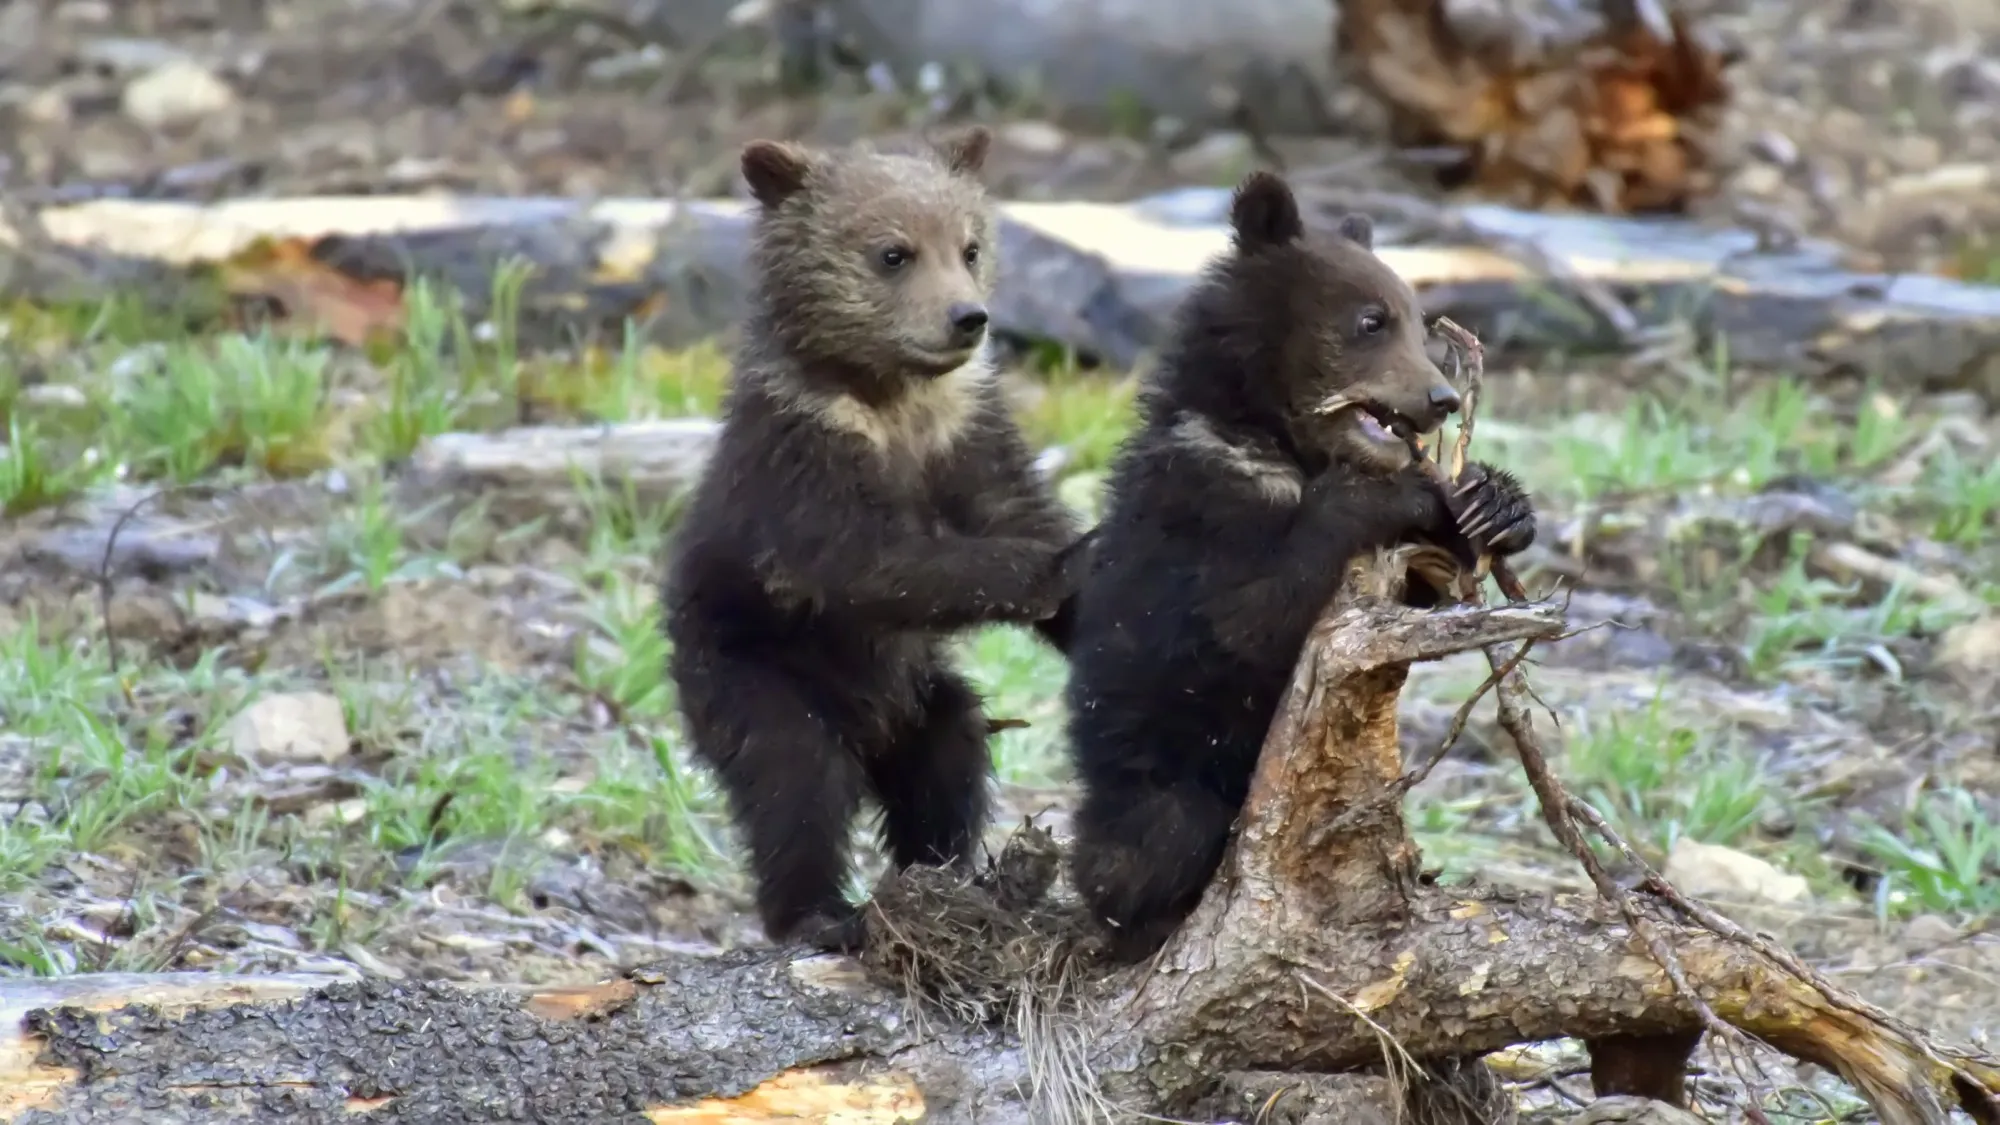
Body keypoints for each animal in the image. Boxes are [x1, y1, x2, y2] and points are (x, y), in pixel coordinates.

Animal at [662, 126, 1093, 954]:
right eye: (893, 252)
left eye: (969, 245)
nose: (968, 317)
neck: (889, 396)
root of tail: (867, 729)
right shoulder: (802, 455)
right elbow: (867, 562)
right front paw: (1057, 565)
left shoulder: (967, 431)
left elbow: (1016, 505)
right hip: (746, 670)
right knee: (793, 777)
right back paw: (818, 909)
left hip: (916, 696)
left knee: (950, 751)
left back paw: (948, 871)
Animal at [1060, 170, 1538, 963]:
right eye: (1372, 320)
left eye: (1419, 322)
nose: (1440, 399)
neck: (1279, 436)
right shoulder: (1204, 503)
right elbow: (1247, 613)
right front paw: (1391, 492)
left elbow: (1420, 589)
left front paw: (1495, 502)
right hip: (1156, 769)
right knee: (1154, 840)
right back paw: (1149, 917)